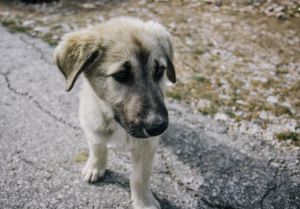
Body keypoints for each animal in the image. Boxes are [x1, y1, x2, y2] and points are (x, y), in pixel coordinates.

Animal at [54, 16, 176, 209]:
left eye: (159, 70)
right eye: (121, 75)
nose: (158, 127)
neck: (117, 123)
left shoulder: (148, 146)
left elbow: (140, 177)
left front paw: (143, 201)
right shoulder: (92, 128)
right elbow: (98, 149)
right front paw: (96, 167)